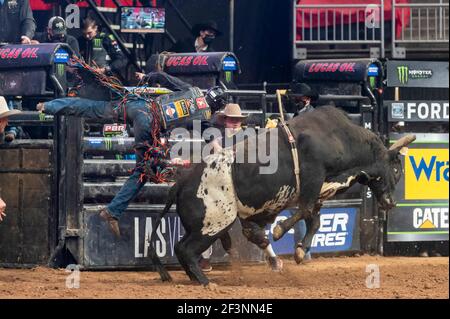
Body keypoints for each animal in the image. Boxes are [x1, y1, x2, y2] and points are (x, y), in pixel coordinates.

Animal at [147, 106, 414, 286]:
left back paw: (197, 278)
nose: (391, 203)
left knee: (185, 247)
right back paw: (205, 281)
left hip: (202, 225)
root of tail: (181, 183)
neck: (341, 139)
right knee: (185, 249)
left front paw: (299, 251)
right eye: (396, 169)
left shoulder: (319, 192)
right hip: (213, 224)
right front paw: (278, 230)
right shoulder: (313, 177)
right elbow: (304, 211)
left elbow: (314, 221)